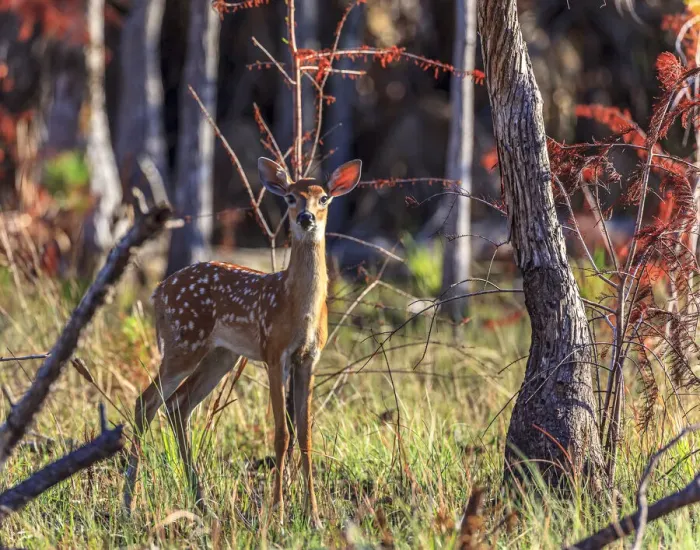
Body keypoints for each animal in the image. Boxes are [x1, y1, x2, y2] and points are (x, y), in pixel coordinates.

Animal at [122, 156, 363, 527]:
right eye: (290, 197)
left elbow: (305, 433)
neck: (298, 307)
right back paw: (129, 506)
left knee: (178, 405)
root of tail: (157, 291)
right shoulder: (273, 352)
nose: (305, 218)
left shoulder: (309, 358)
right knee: (145, 402)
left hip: (221, 354)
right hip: (183, 342)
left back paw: (201, 503)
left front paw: (314, 517)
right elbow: (281, 433)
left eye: (323, 198)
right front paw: (278, 515)